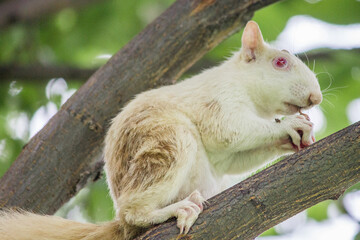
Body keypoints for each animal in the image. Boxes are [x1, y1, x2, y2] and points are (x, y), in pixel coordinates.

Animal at [0, 21, 320, 240]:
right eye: (280, 62)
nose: (316, 98)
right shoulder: (219, 100)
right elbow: (229, 131)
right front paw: (292, 124)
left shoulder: (227, 158)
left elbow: (234, 159)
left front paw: (295, 138)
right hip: (167, 142)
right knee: (133, 212)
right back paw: (178, 209)